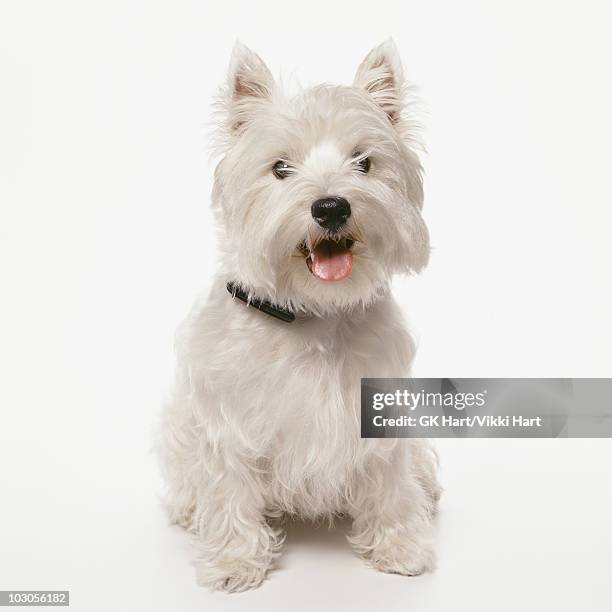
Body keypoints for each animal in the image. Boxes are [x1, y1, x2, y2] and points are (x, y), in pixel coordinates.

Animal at [159, 39, 440, 592]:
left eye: (363, 162)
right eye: (280, 168)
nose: (330, 207)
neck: (314, 313)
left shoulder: (380, 411)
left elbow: (391, 482)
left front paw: (399, 546)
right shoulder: (228, 422)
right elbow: (228, 488)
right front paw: (234, 561)